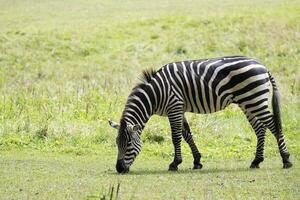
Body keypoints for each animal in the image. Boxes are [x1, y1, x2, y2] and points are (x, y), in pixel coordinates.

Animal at [108, 55, 292, 173]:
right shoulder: (179, 109)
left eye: (129, 144)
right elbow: (187, 135)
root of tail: (263, 66)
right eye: (117, 143)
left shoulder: (174, 106)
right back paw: (256, 161)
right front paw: (197, 161)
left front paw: (175, 163)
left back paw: (286, 159)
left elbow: (176, 137)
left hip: (254, 99)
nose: (119, 169)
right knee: (260, 128)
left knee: (274, 125)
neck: (156, 94)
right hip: (248, 102)